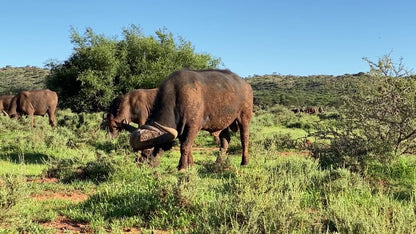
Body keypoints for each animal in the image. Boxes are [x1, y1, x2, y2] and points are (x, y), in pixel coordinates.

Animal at [123, 68, 254, 171]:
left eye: (148, 150)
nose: (142, 164)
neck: (177, 96)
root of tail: (247, 85)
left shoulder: (192, 126)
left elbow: (185, 146)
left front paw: (182, 167)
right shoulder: (181, 129)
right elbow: (187, 146)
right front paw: (189, 164)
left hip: (244, 117)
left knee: (244, 138)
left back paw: (245, 161)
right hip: (222, 123)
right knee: (225, 141)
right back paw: (217, 162)